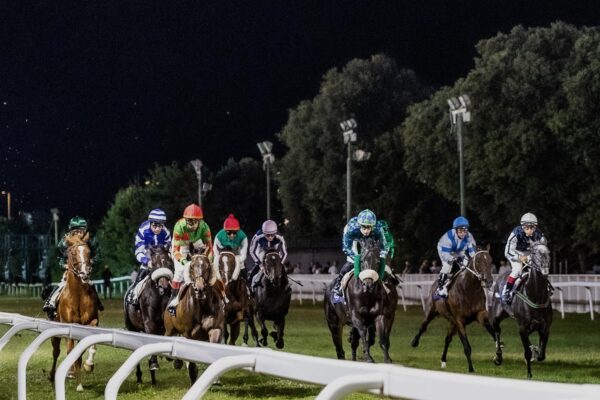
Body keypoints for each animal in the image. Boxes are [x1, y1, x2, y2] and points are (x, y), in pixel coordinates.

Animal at [47, 233, 99, 392]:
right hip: (55, 331)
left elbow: (90, 347)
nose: (85, 273)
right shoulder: (68, 325)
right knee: (56, 352)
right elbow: (70, 351)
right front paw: (74, 379)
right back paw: (53, 375)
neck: (77, 296)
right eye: (73, 253)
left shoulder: (92, 322)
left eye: (89, 252)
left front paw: (88, 366)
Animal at [124, 245, 173, 386]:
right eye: (155, 264)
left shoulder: (164, 324)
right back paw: (140, 376)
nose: (163, 286)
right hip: (132, 327)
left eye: (169, 263)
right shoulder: (149, 323)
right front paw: (154, 363)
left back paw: (153, 379)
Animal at [162, 253, 225, 384]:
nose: (200, 289)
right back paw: (177, 362)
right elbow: (191, 361)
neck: (201, 306)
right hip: (169, 329)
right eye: (191, 266)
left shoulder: (215, 328)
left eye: (207, 267)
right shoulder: (188, 333)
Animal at [488, 241, 552, 378]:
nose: (545, 268)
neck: (536, 296)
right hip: (496, 316)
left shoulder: (545, 326)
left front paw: (535, 351)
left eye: (548, 252)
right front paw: (529, 374)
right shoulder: (522, 327)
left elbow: (541, 355)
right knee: (497, 332)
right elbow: (527, 352)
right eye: (534, 252)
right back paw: (498, 357)